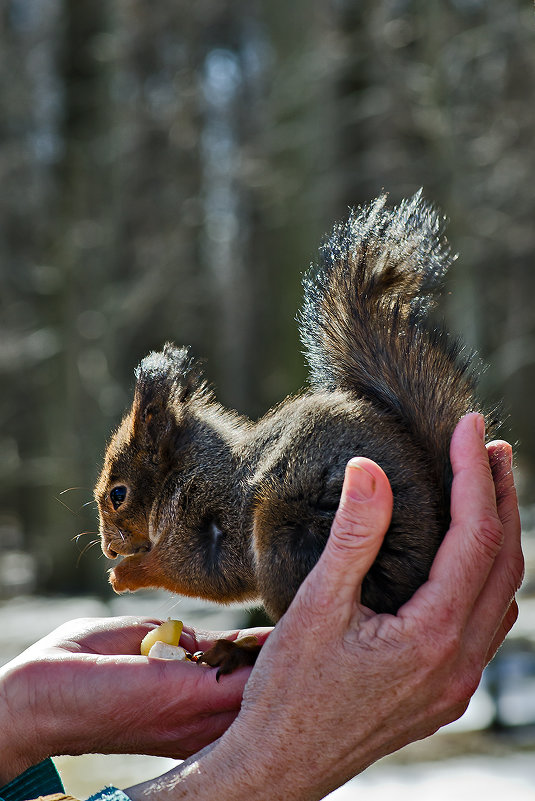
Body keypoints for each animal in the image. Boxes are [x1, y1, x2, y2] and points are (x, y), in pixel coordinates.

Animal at [95, 194, 486, 676]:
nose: (109, 551)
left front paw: (128, 573)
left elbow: (199, 570)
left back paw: (239, 651)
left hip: (287, 536)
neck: (184, 474)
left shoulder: (204, 515)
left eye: (118, 494)